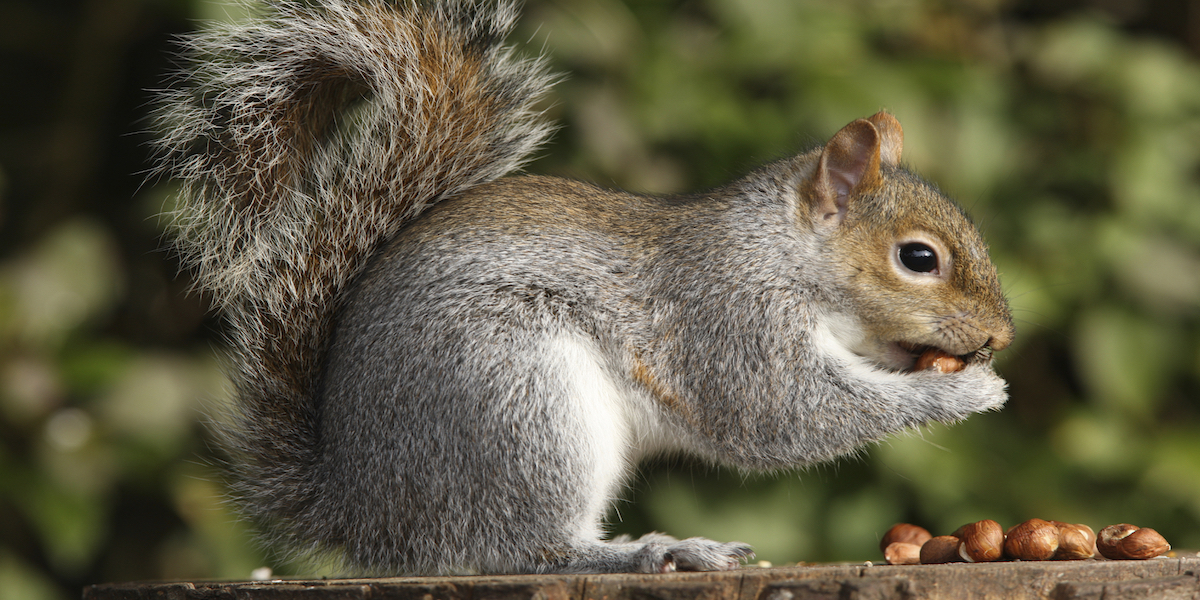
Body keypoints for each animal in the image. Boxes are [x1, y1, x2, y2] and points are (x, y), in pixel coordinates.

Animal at [152, 0, 1015, 576]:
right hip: (519, 399)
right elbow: (786, 415)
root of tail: (364, 511)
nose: (1002, 335)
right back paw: (653, 551)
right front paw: (964, 392)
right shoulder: (730, 319)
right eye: (918, 258)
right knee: (520, 550)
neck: (781, 253)